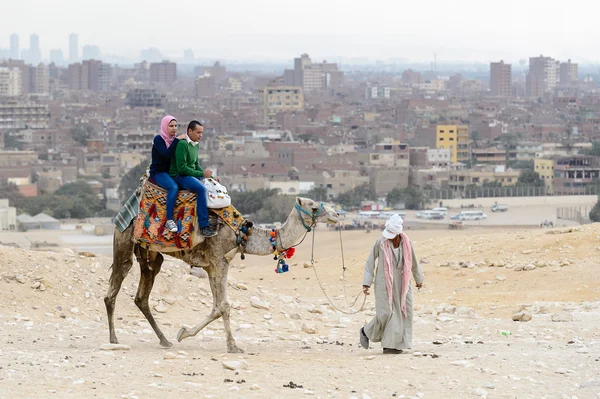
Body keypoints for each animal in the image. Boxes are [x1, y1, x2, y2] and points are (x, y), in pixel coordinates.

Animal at [103, 197, 338, 354]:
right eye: (313, 206)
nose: (336, 215)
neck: (240, 234)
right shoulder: (219, 261)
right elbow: (224, 306)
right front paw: (233, 346)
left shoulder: (212, 266)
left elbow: (217, 307)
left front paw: (183, 333)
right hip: (124, 239)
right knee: (114, 287)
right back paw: (114, 338)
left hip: (150, 254)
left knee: (142, 294)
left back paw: (164, 340)